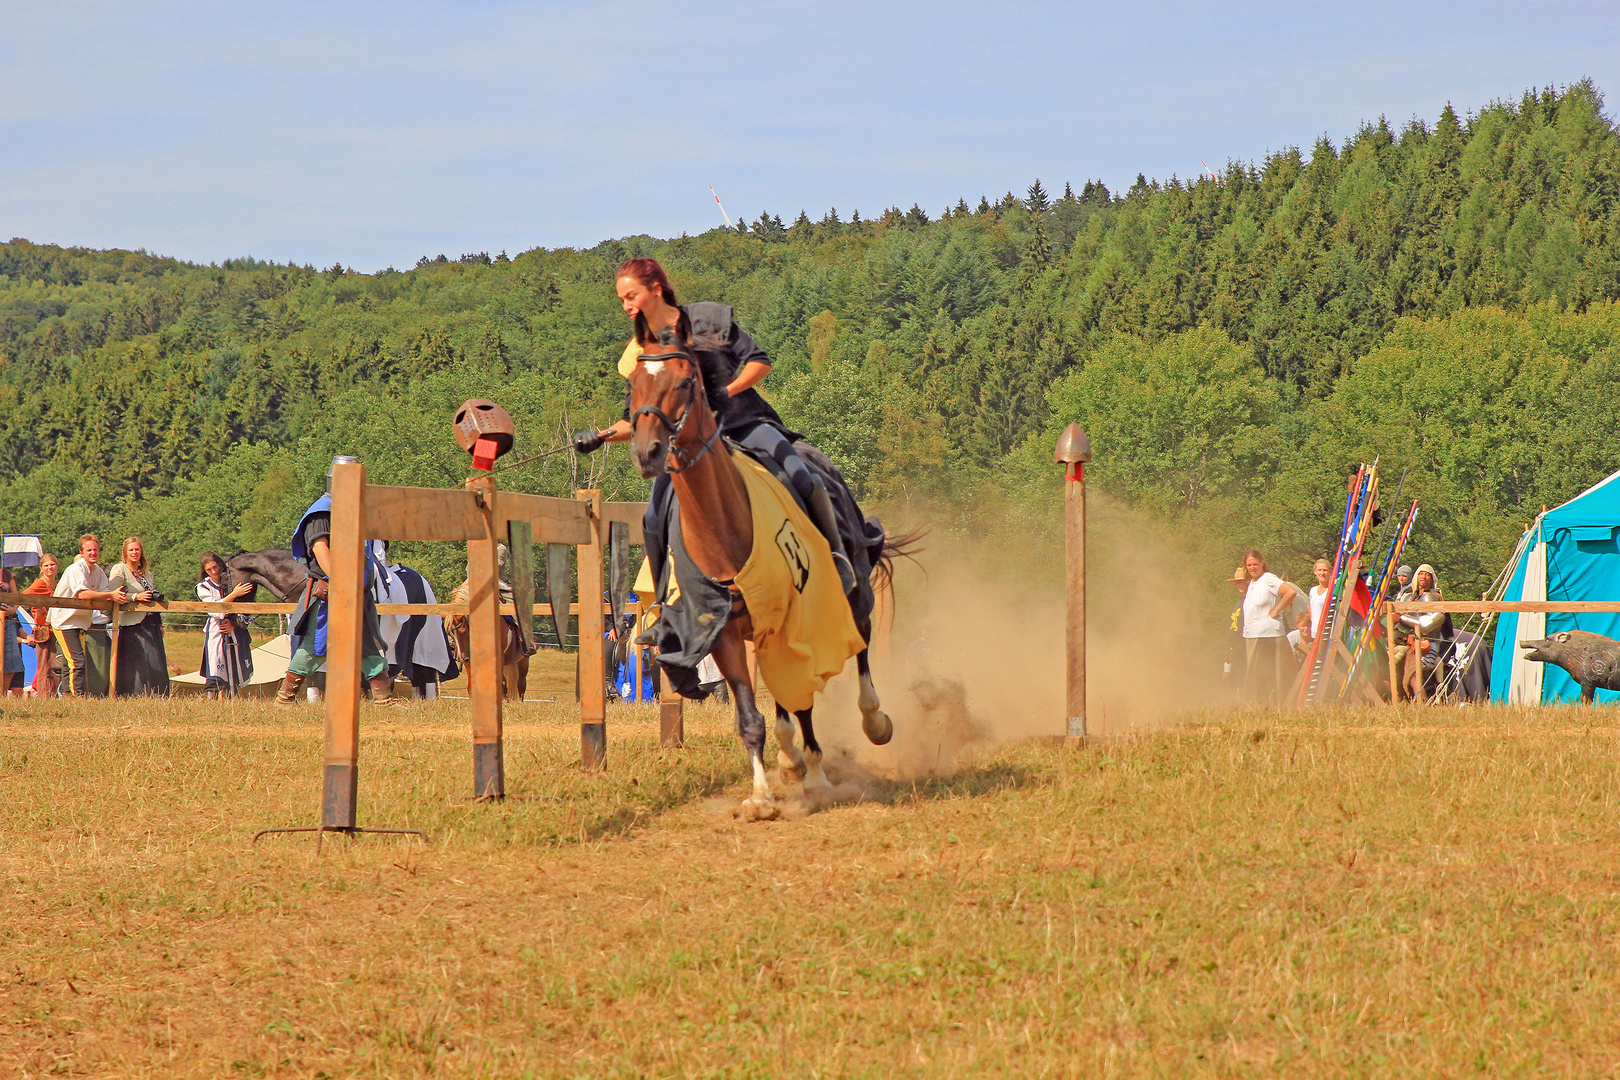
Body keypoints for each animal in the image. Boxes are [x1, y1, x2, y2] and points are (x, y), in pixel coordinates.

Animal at [622, 330, 900, 819]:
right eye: (634, 383)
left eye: (685, 381)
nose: (647, 451)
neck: (726, 529)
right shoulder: (727, 634)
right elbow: (752, 717)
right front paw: (761, 795)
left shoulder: (799, 623)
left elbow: (804, 695)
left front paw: (817, 777)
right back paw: (790, 760)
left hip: (852, 595)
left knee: (862, 644)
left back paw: (871, 721)